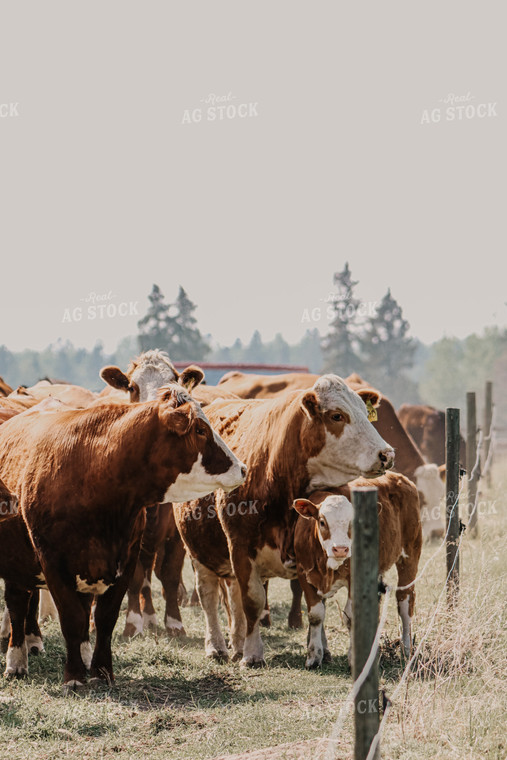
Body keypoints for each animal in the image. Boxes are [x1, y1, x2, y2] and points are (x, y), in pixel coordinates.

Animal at [0, 382, 246, 684]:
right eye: (200, 430)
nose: (242, 468)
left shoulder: (126, 559)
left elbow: (104, 618)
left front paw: (101, 670)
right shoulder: (53, 563)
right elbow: (71, 618)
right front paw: (74, 676)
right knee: (18, 604)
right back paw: (17, 659)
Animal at [173, 378, 394, 668]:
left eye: (364, 412)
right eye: (337, 415)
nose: (387, 454)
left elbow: (314, 604)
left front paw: (319, 650)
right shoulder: (240, 549)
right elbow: (253, 602)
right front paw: (252, 654)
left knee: (232, 597)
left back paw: (237, 643)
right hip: (198, 551)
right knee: (208, 596)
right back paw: (217, 646)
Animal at [292, 472, 422, 668]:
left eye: (352, 523)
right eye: (322, 522)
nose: (340, 549)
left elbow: (352, 618)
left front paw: (354, 658)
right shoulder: (303, 574)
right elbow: (315, 615)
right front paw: (314, 657)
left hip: (410, 555)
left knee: (405, 602)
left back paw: (406, 649)